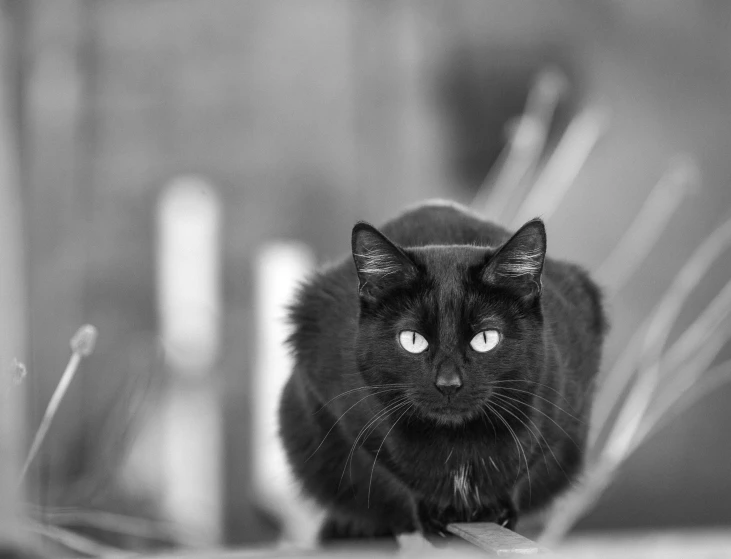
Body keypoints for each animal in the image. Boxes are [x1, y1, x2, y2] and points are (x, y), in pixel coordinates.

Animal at [278, 201, 608, 544]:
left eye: (486, 338)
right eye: (412, 340)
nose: (448, 383)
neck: (459, 446)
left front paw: (499, 508)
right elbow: (382, 470)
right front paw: (431, 511)